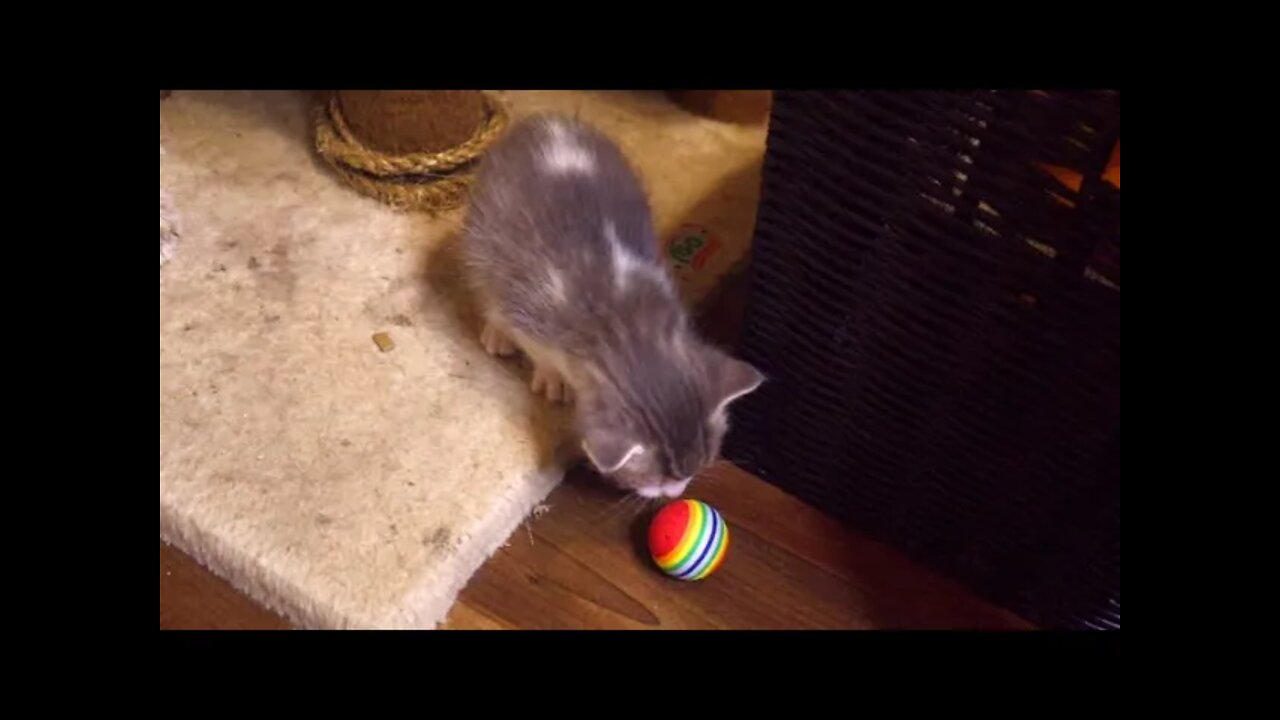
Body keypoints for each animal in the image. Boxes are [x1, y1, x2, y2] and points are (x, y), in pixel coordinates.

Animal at [460, 116, 757, 499]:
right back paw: (497, 333)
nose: (676, 492)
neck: (627, 321)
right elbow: (536, 345)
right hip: (482, 238)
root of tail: (544, 122)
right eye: (656, 479)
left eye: (703, 463)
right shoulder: (528, 306)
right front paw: (552, 377)